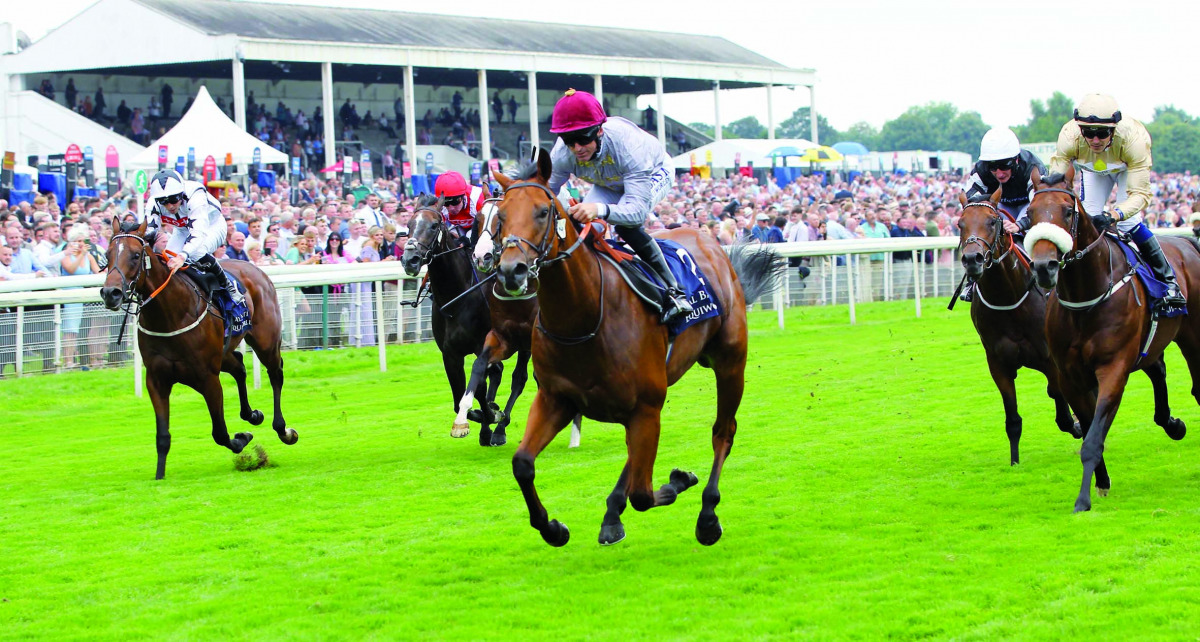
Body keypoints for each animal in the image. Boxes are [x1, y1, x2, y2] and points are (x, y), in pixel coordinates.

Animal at [100, 220, 297, 477]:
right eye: (107, 255)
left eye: (135, 255)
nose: (110, 293)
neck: (170, 315)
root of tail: (256, 268)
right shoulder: (156, 380)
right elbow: (162, 436)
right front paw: (159, 476)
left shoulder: (208, 378)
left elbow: (220, 433)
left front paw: (242, 438)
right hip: (223, 353)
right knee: (239, 366)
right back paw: (252, 414)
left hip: (266, 343)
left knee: (275, 374)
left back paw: (283, 430)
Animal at [489, 151, 782, 547]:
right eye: (500, 216)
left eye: (543, 211)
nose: (512, 271)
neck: (584, 318)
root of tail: (709, 242)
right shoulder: (557, 399)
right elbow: (522, 463)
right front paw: (553, 528)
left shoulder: (645, 406)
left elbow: (644, 495)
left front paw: (679, 481)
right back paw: (612, 515)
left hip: (730, 363)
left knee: (723, 431)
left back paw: (707, 515)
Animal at [960, 188, 1084, 465]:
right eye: (960, 223)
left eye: (992, 221)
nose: (972, 259)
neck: (1007, 298)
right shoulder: (998, 365)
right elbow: (1012, 419)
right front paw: (1014, 461)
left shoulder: (1050, 360)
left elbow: (1059, 401)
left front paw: (1077, 424)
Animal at [1022, 166, 1200, 513]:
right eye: (1030, 213)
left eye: (1067, 211)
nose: (1043, 267)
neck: (1086, 297)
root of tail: (1188, 243)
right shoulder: (1071, 377)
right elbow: (1089, 427)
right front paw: (1101, 482)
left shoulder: (1113, 368)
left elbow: (1093, 436)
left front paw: (1083, 500)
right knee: (1158, 370)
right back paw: (1172, 423)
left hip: (1194, 336)